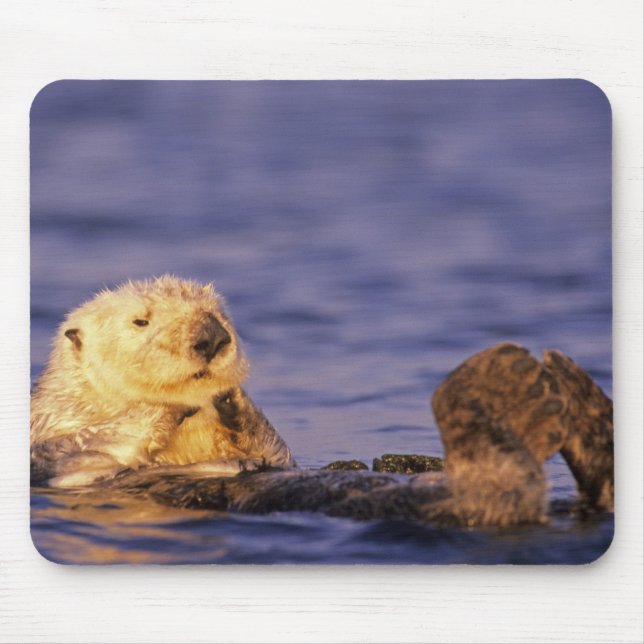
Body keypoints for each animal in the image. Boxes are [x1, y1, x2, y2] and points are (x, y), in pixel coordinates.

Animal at [30, 276, 294, 487]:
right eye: (140, 321)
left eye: (221, 314)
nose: (211, 335)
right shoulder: (55, 440)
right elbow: (82, 448)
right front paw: (167, 406)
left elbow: (280, 455)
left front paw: (233, 399)